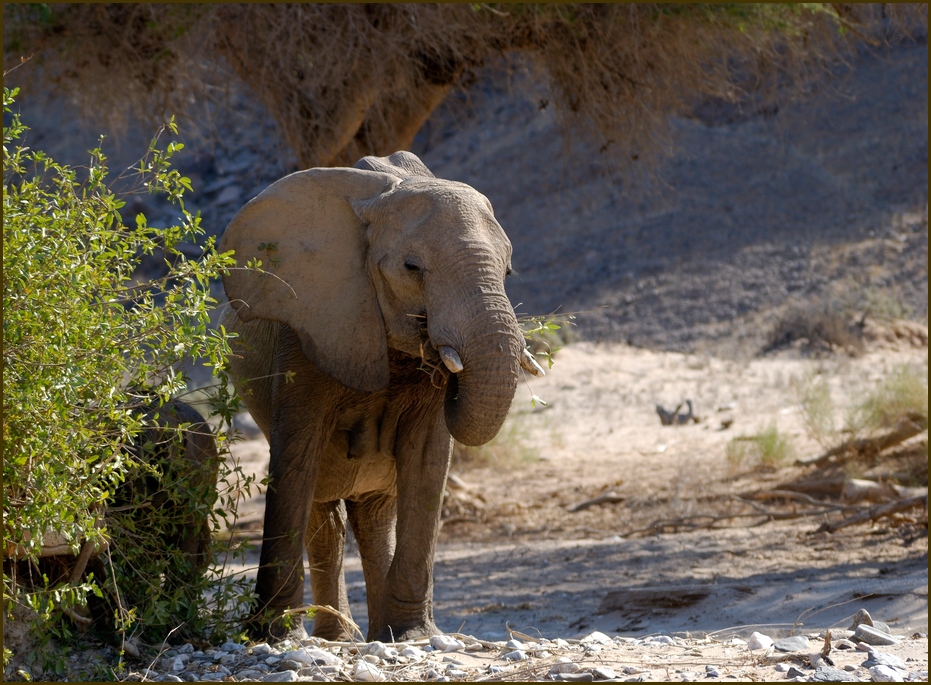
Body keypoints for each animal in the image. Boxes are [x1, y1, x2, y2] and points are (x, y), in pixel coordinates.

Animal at [218, 150, 544, 640]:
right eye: (412, 268)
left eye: (507, 271)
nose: (448, 359)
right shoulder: (309, 328)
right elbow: (295, 460)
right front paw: (271, 637)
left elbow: (427, 461)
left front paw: (413, 636)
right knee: (323, 510)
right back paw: (337, 637)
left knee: (373, 515)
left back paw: (372, 635)